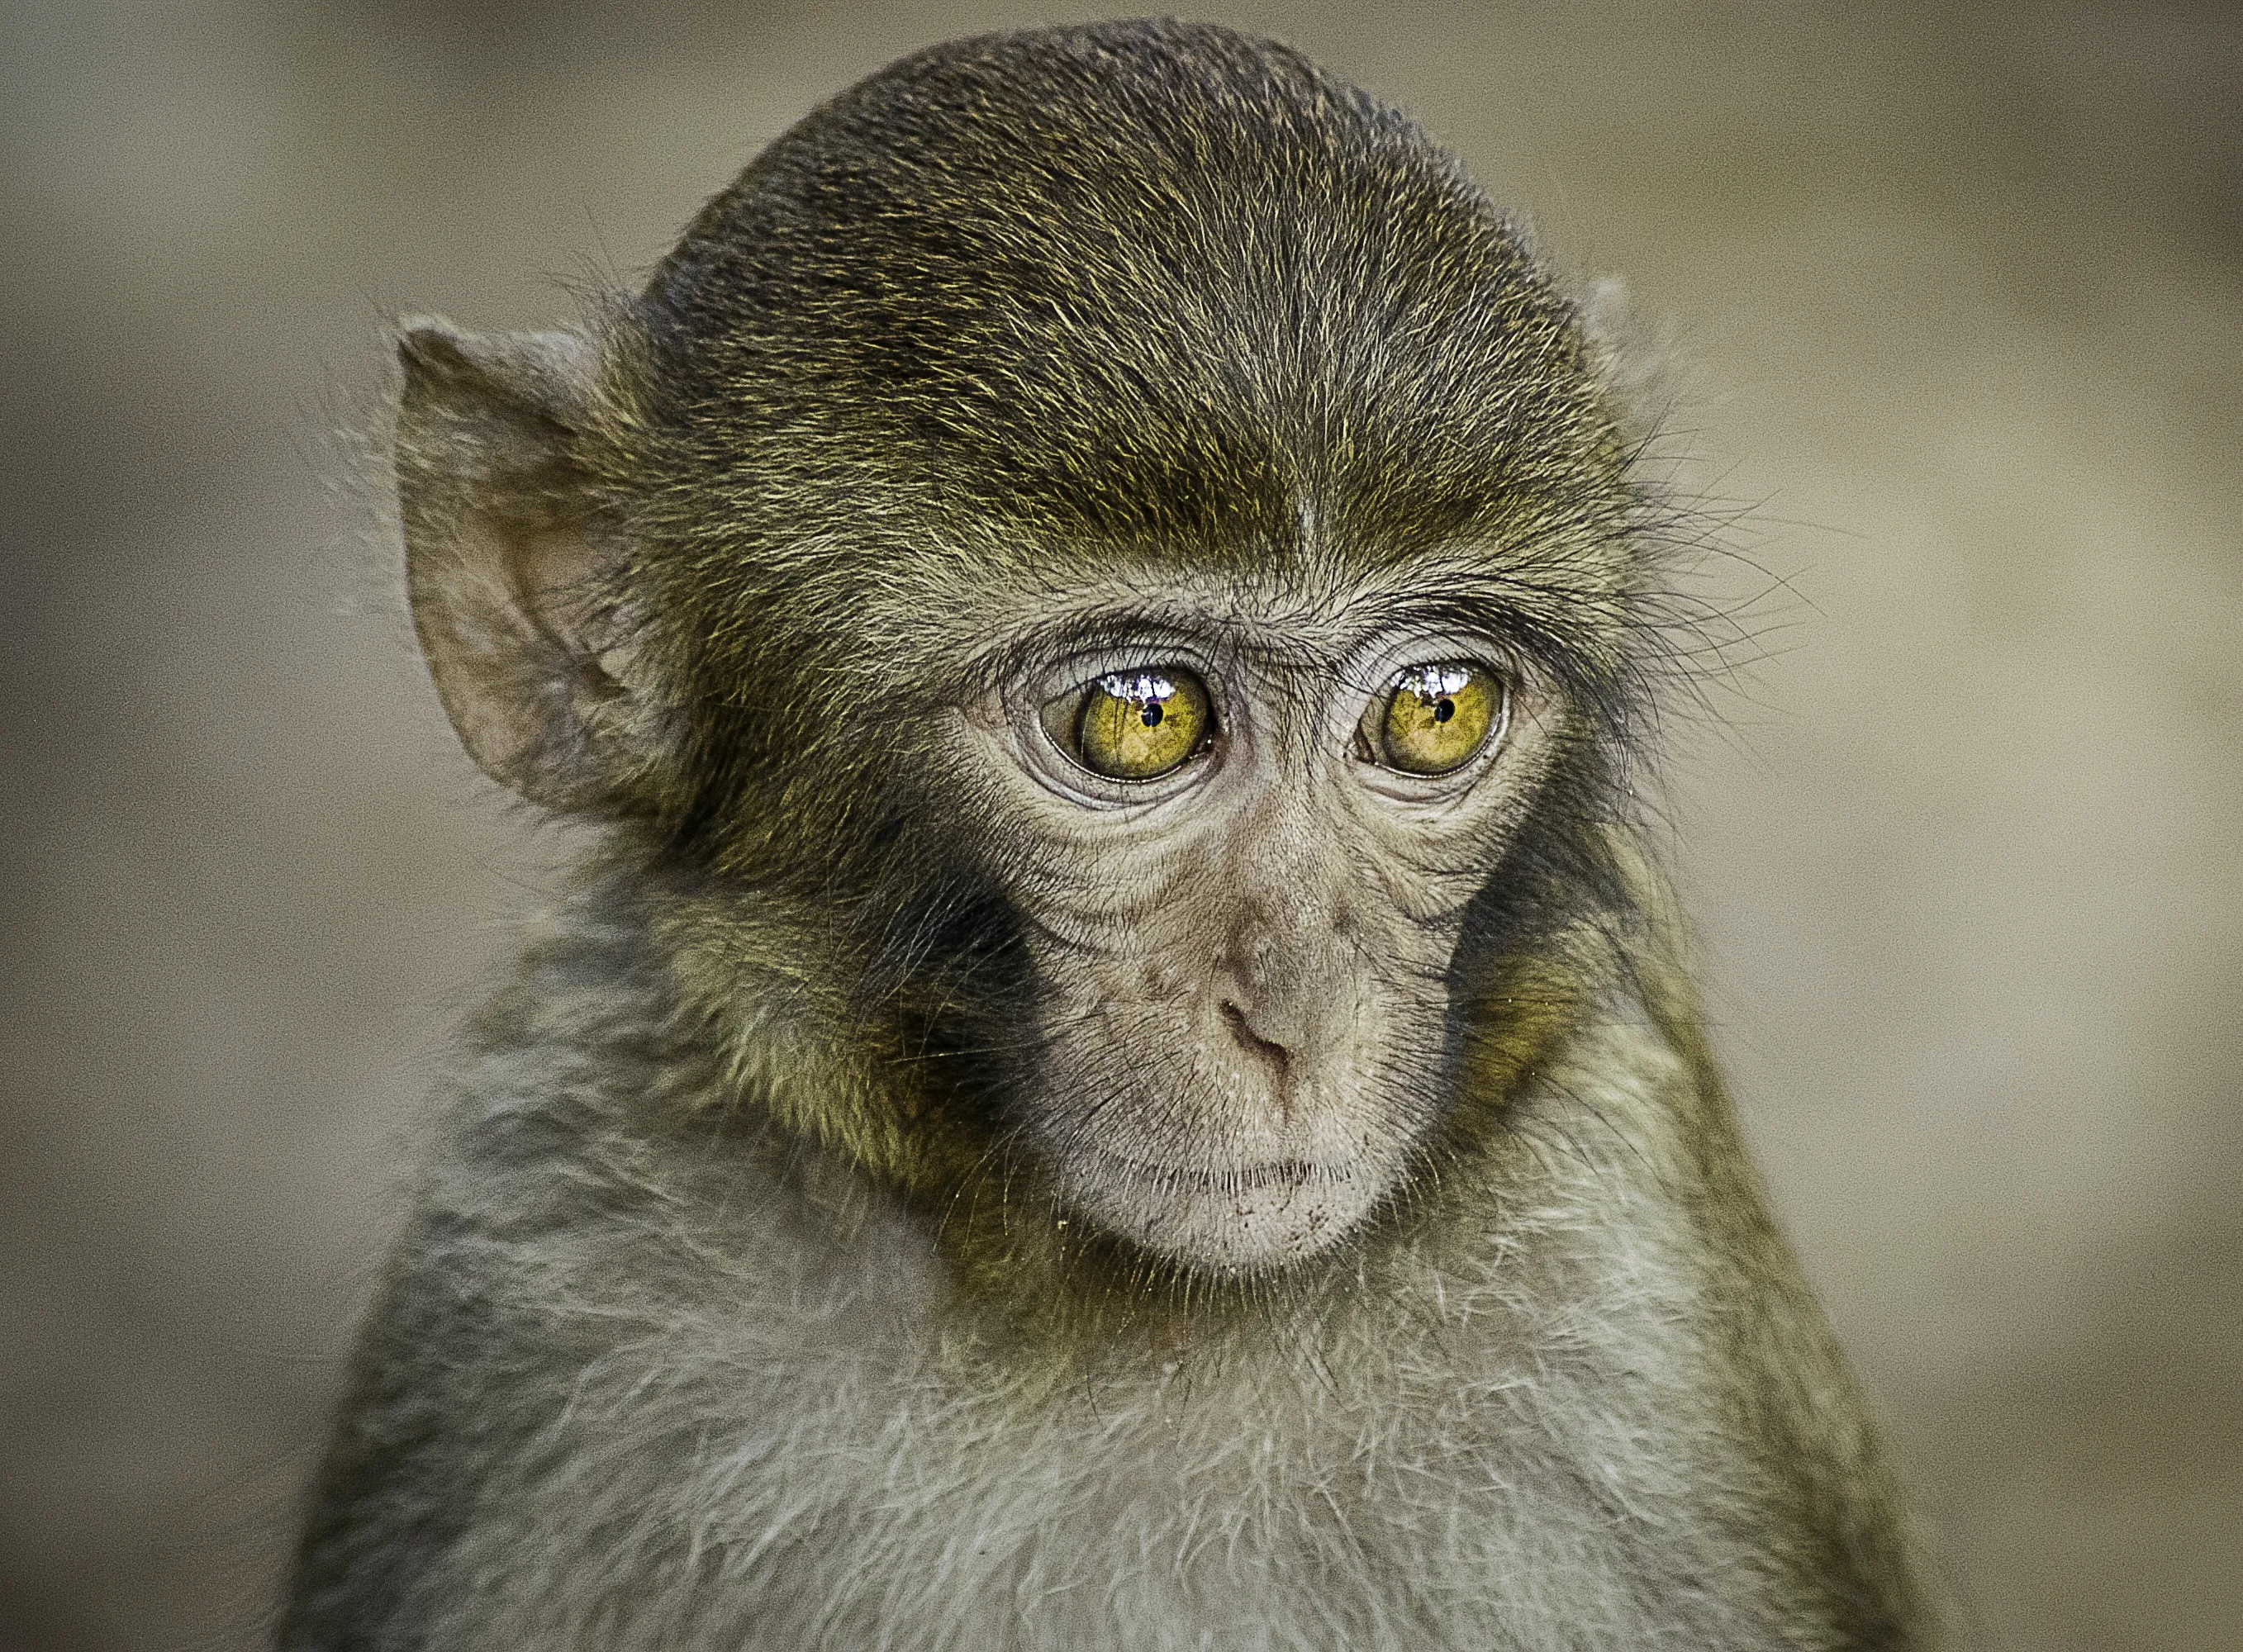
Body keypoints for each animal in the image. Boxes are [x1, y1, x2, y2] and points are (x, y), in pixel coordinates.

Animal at [281, 19, 1948, 1651]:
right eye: (1139, 718)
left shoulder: (1630, 1302)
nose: (1299, 1013)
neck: (1068, 1308)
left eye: (1437, 709)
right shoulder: (541, 1223)